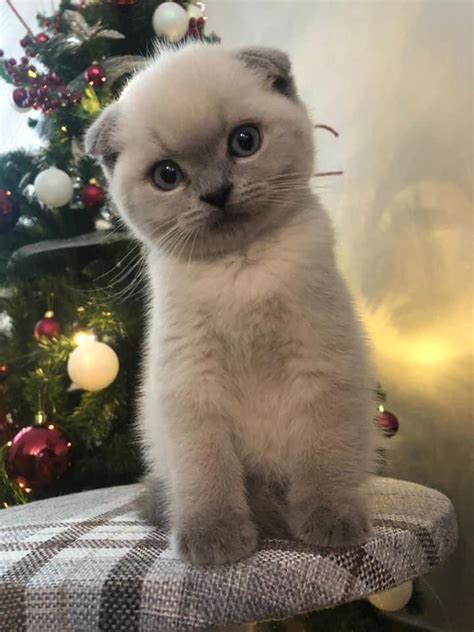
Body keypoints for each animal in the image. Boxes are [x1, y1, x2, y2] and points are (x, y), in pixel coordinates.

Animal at [84, 45, 374, 568]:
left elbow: (323, 456)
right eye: (167, 176)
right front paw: (215, 537)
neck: (242, 269)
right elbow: (207, 471)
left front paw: (329, 521)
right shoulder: (192, 381)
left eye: (244, 142)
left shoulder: (321, 359)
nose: (216, 193)